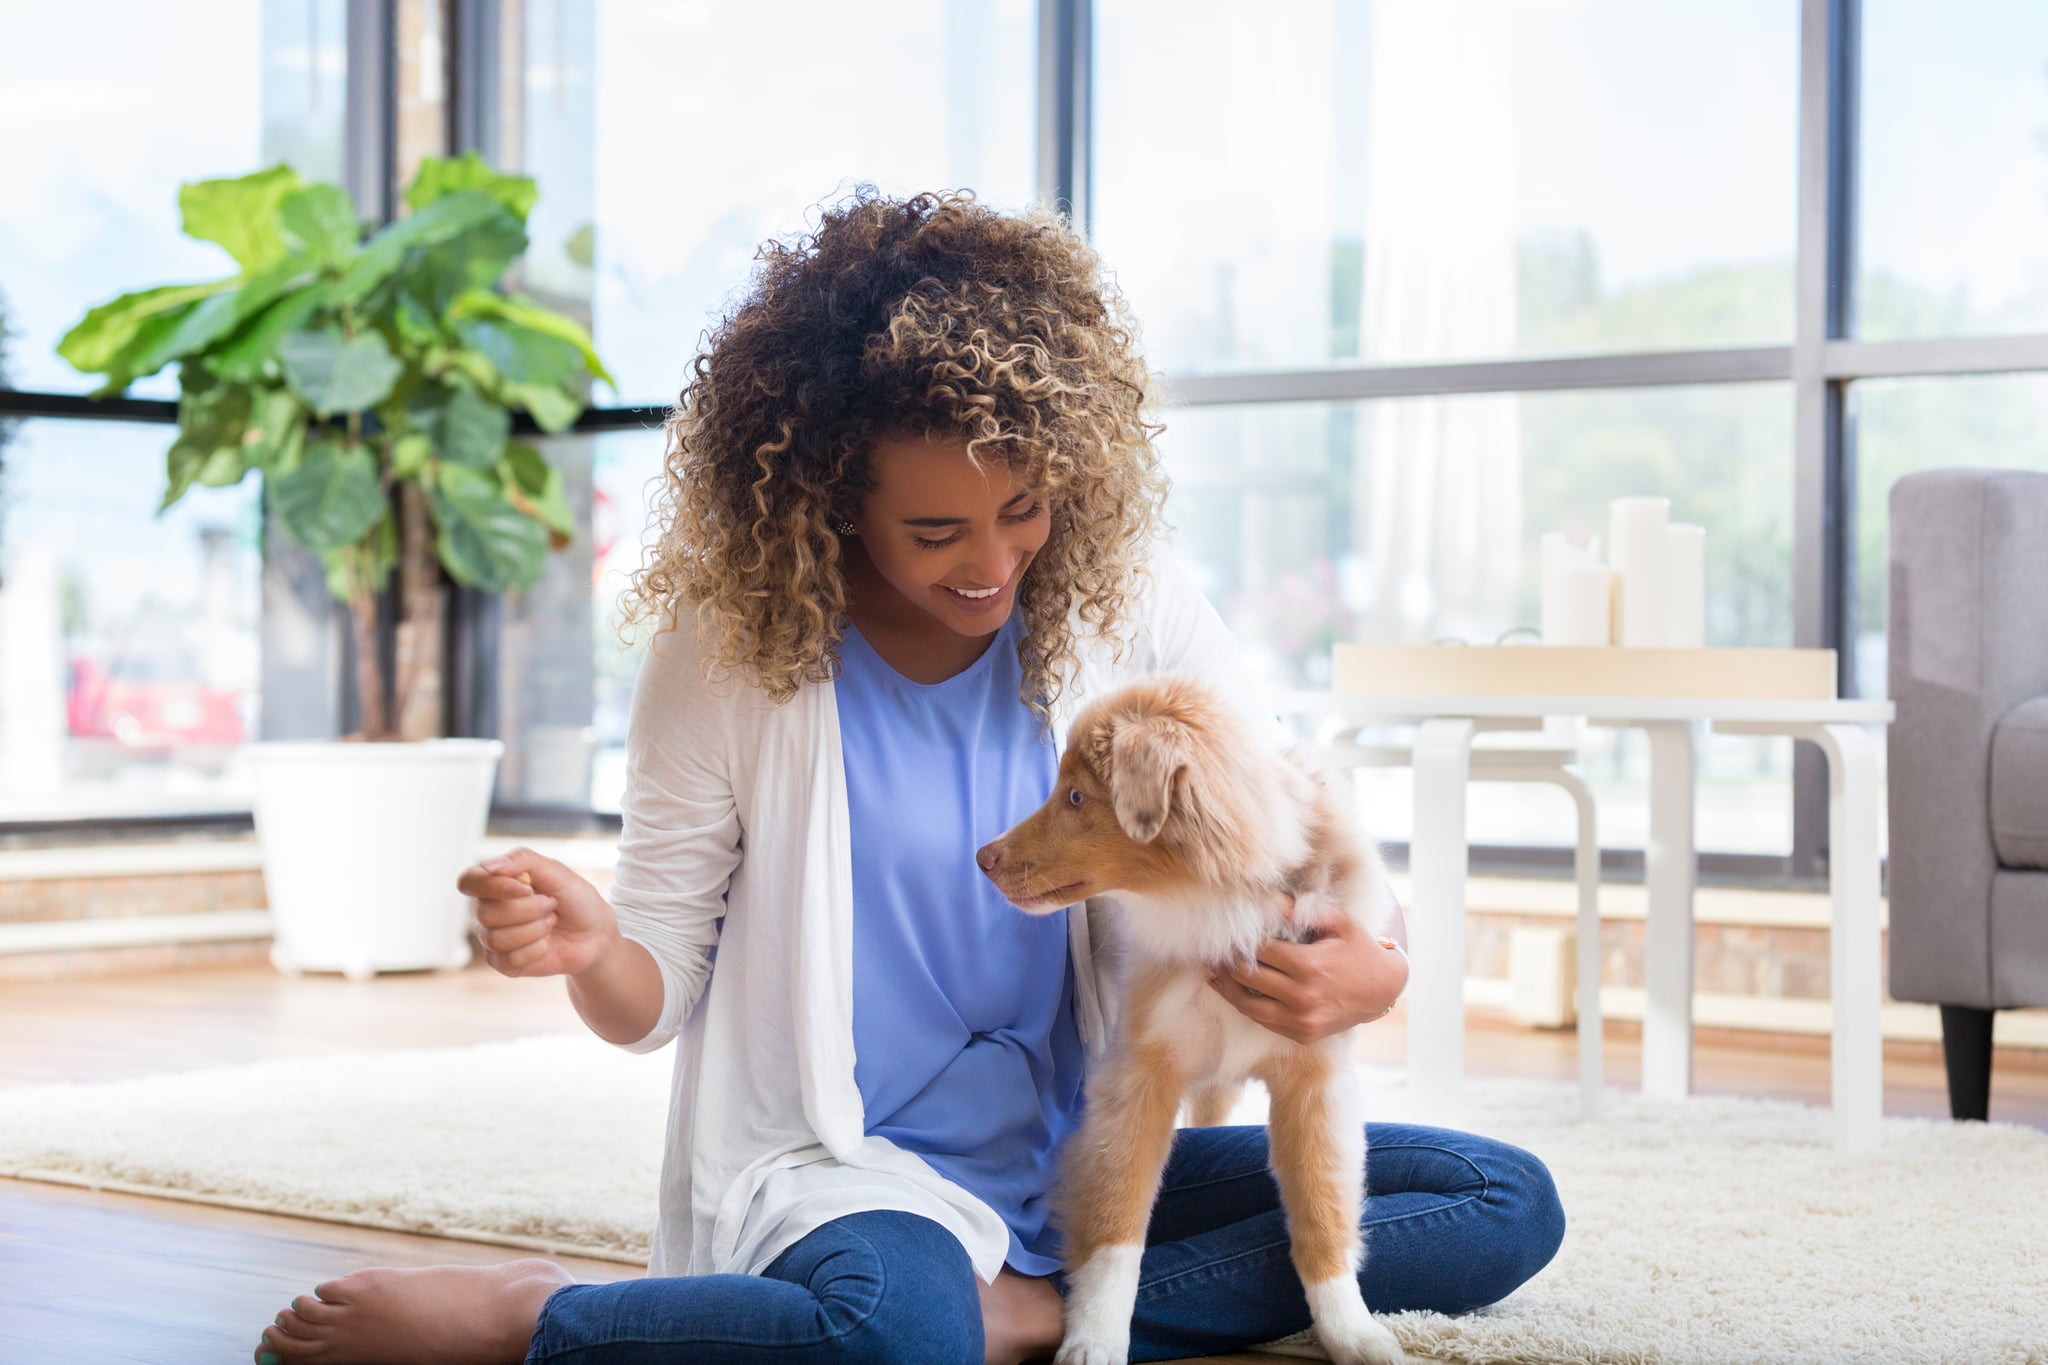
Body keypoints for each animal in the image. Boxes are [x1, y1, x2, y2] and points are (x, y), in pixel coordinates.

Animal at [978, 679, 1409, 1365]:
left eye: (1076, 797)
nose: (982, 857)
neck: (1219, 907)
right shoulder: (1138, 1077)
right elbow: (1118, 1227)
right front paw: (1094, 1338)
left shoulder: (1315, 1079)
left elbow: (1322, 1212)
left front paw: (1353, 1332)